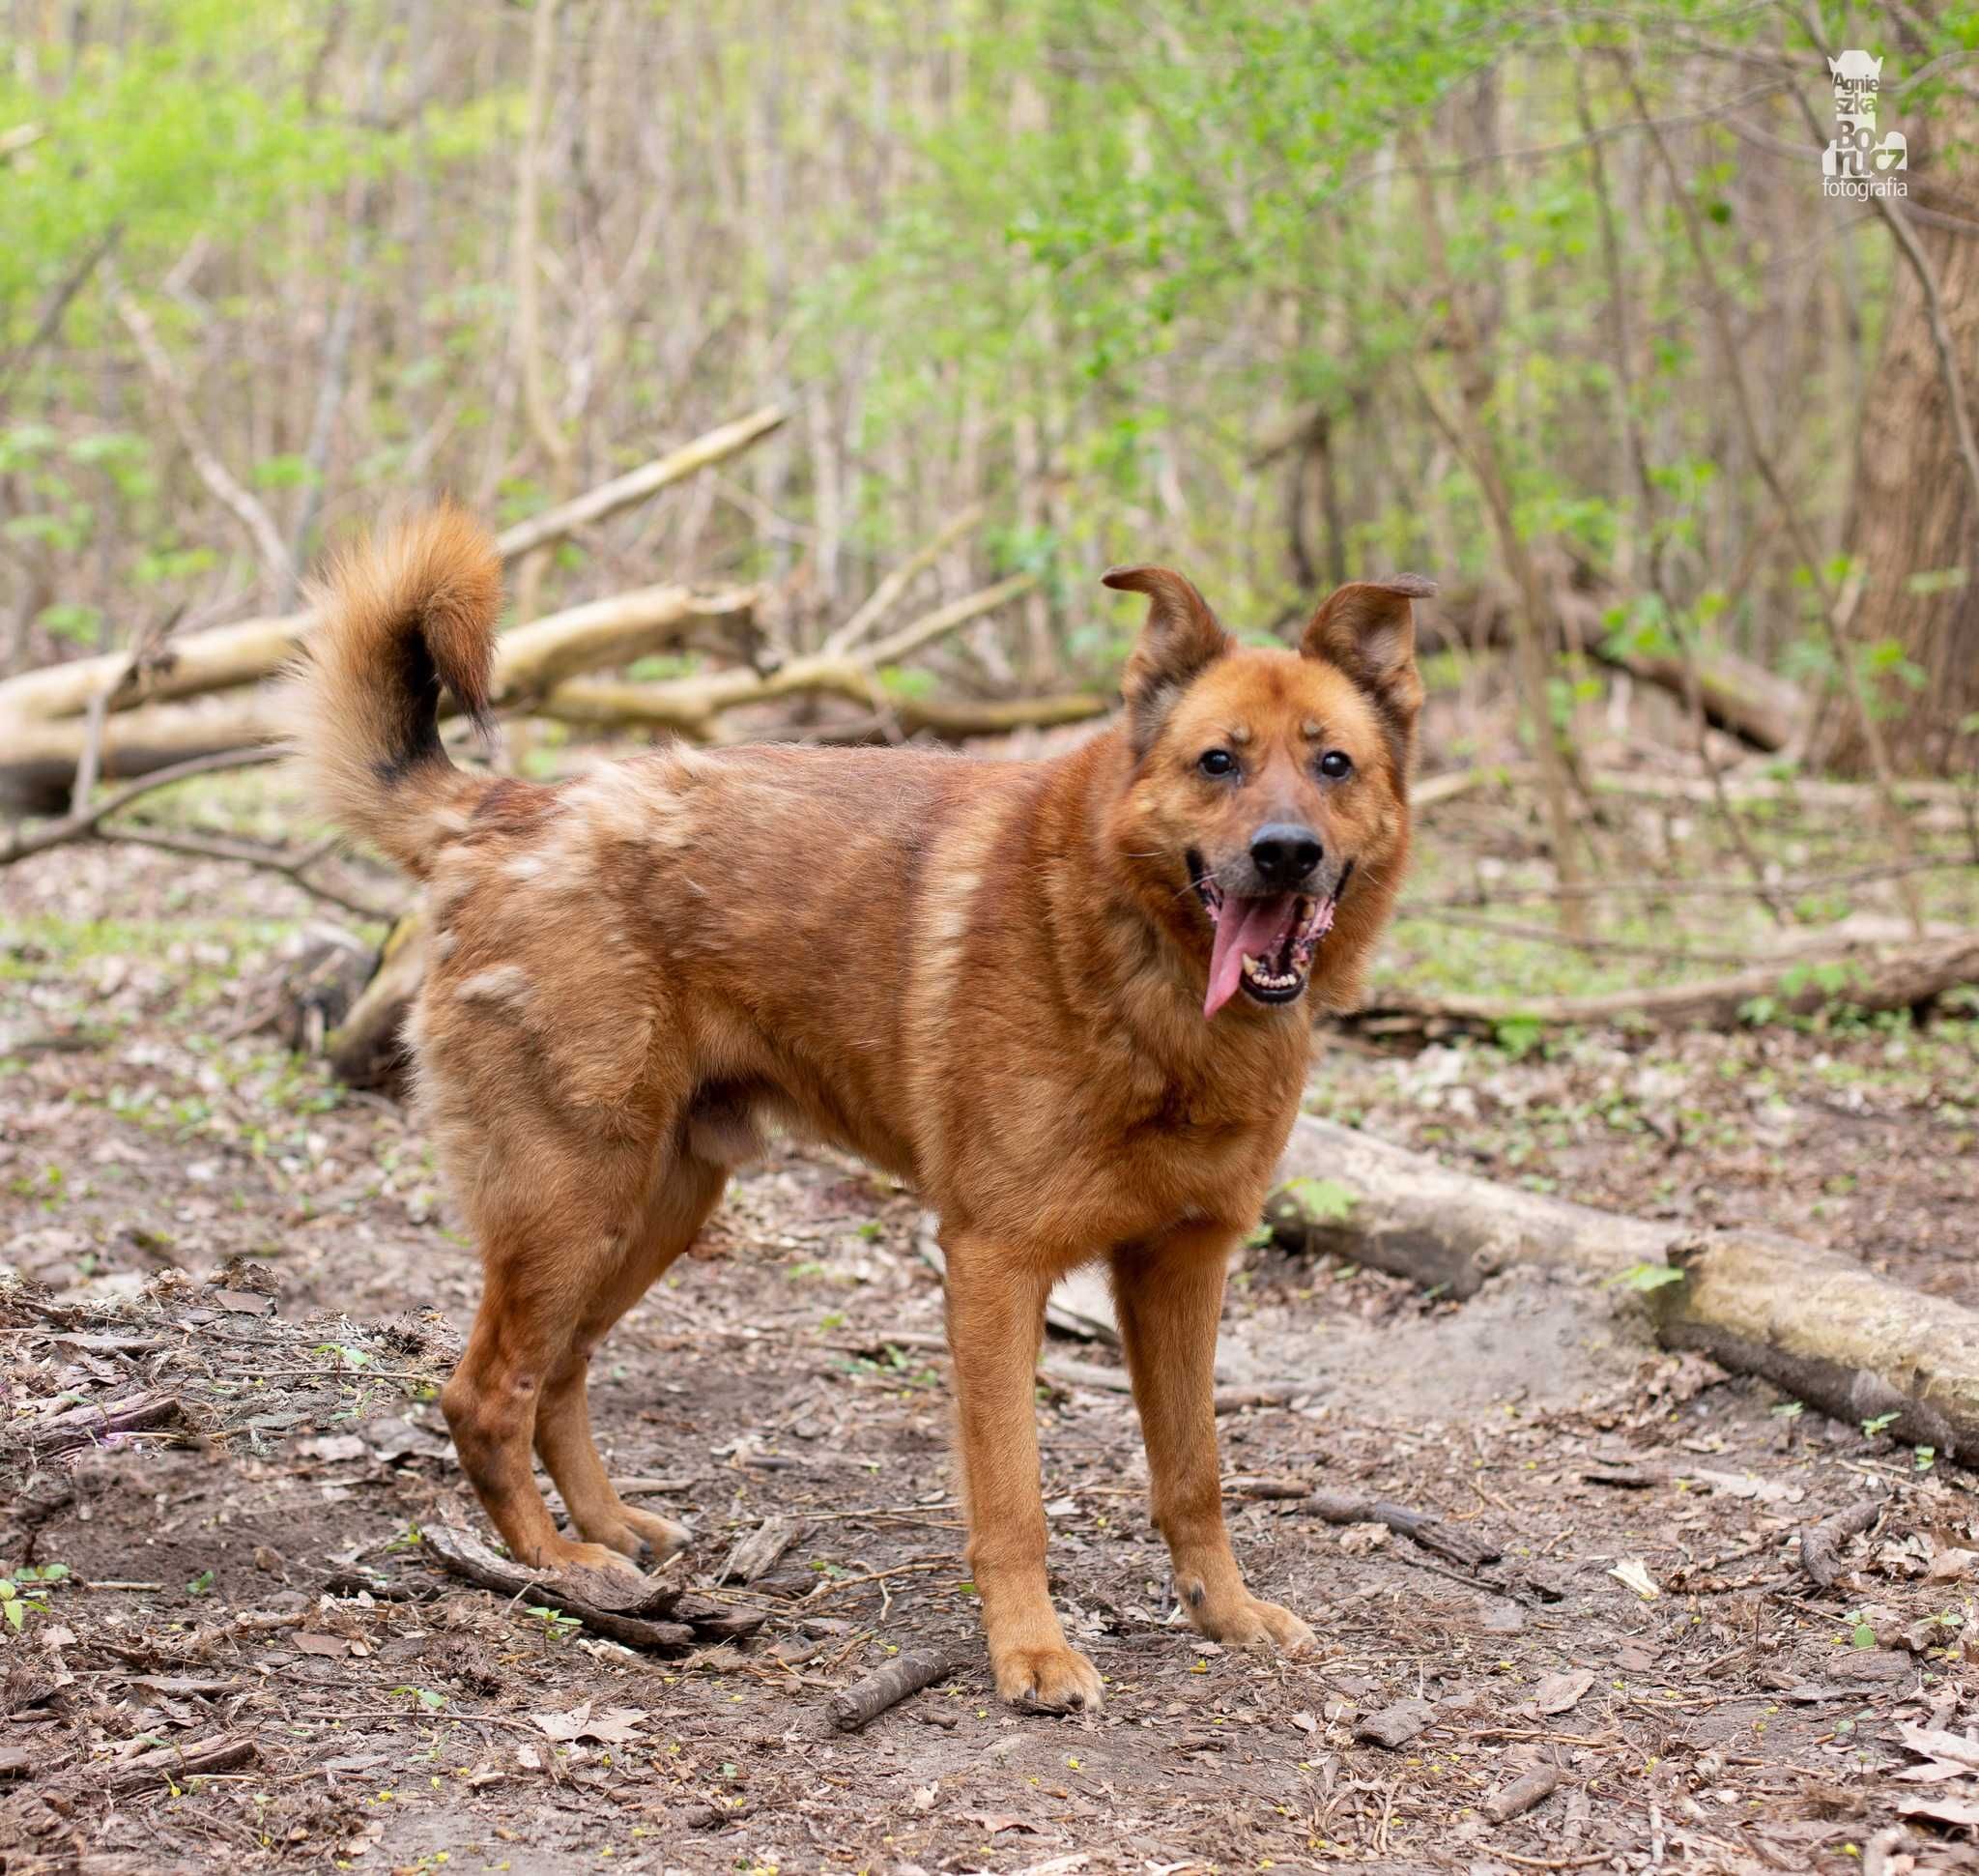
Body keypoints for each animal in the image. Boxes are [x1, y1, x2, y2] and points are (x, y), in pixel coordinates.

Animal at [293, 510, 1432, 1717]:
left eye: (1332, 764)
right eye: (1217, 761)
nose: (1284, 853)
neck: (1154, 981)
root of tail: (512, 806)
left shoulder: (1183, 1267)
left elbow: (1193, 1471)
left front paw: (1225, 1613)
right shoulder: (993, 1267)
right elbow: (1011, 1498)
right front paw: (1030, 1653)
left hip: (653, 1208)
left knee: (558, 1371)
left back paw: (607, 1526)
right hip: (569, 1199)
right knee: (483, 1394)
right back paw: (554, 1560)